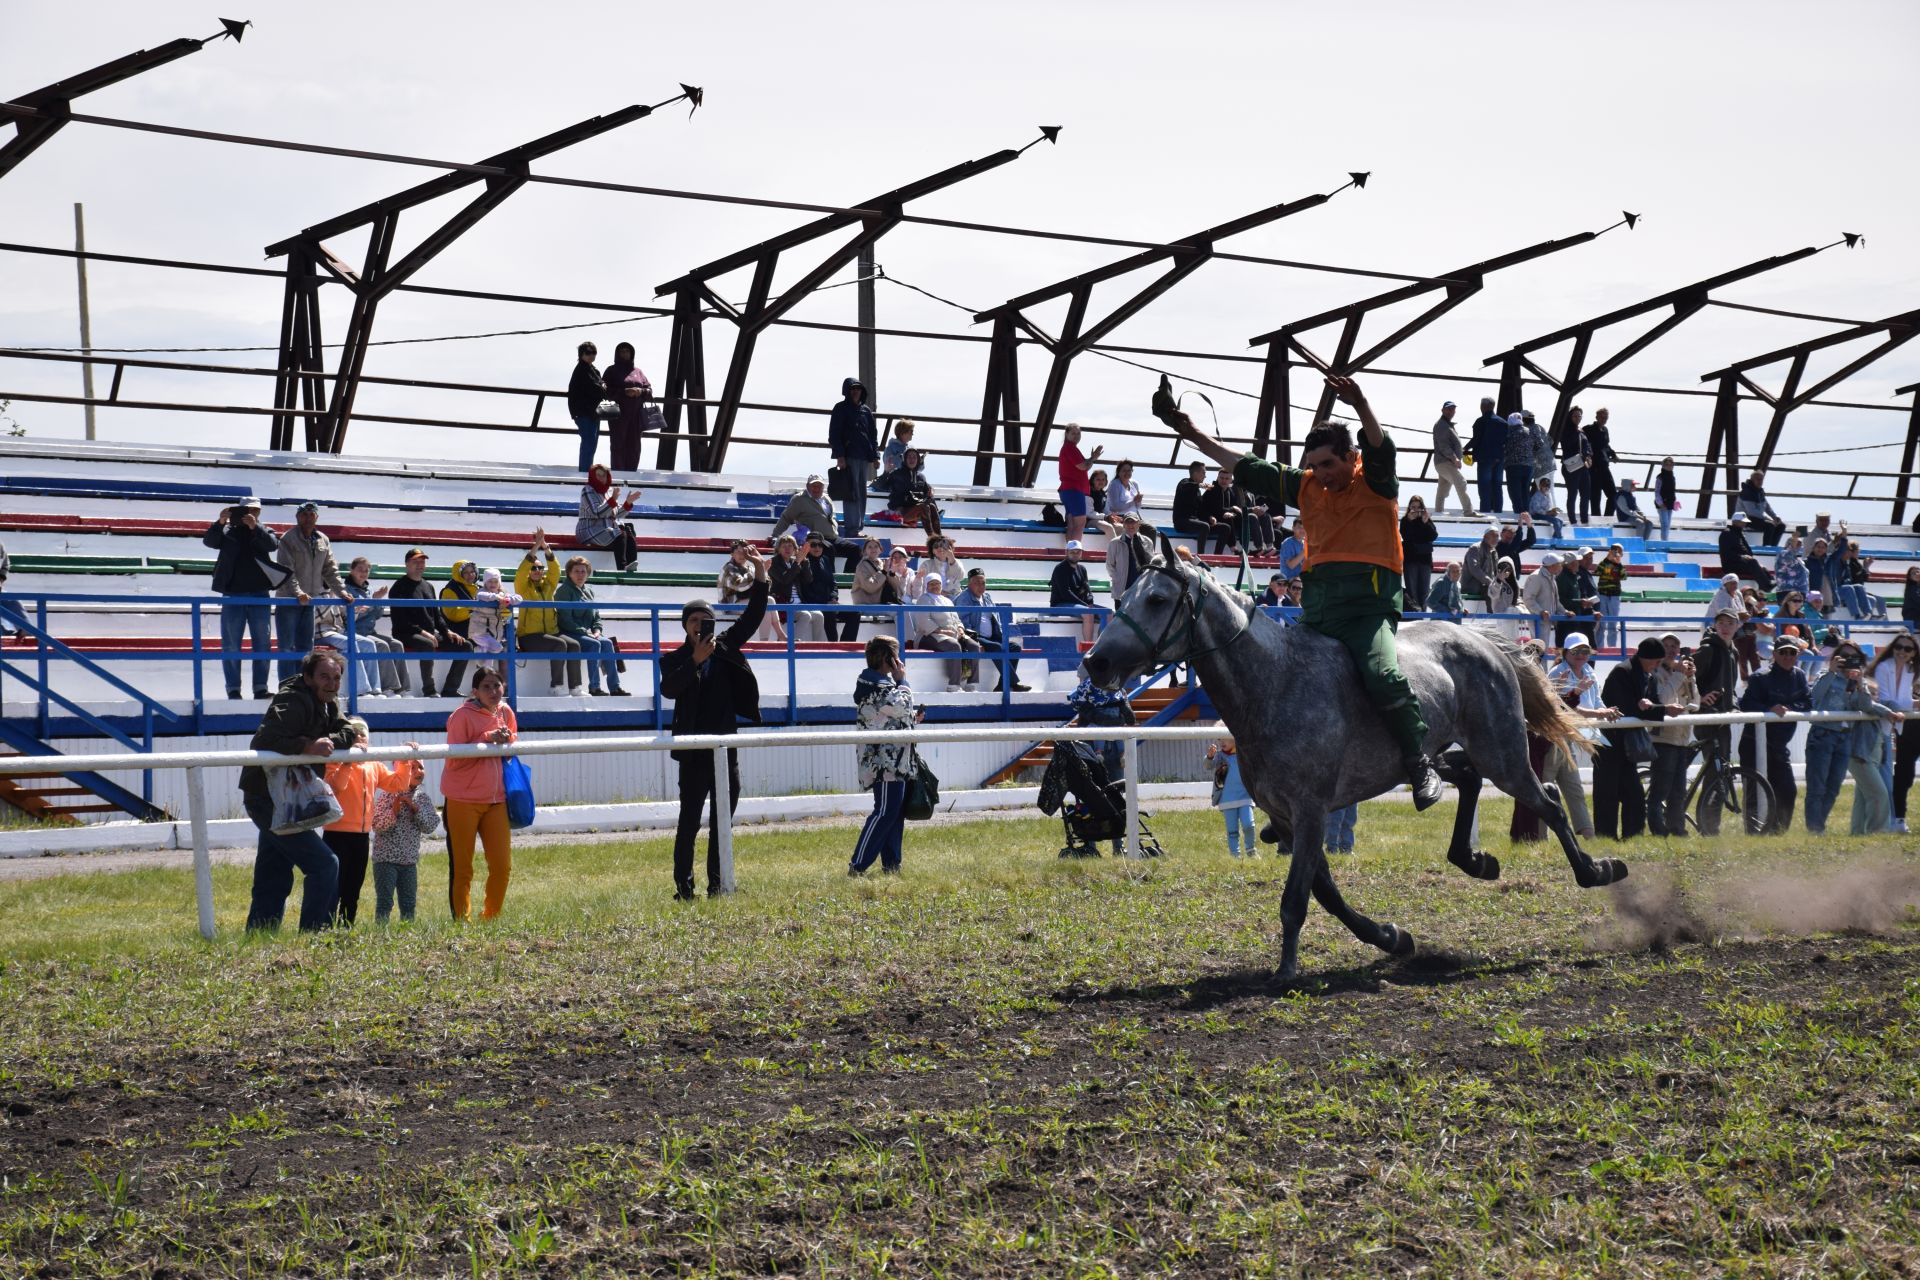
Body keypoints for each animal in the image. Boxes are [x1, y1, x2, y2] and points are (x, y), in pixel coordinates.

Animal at [1082, 537, 1620, 974]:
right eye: (1122, 598)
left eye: (1156, 599)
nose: (1095, 661)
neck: (1274, 681)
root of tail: (1481, 641)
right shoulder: (1290, 818)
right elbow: (1325, 893)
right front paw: (1391, 937)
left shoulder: (1310, 811)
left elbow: (1298, 898)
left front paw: (1286, 971)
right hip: (1437, 755)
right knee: (1473, 781)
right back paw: (1473, 859)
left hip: (1501, 754)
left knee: (1548, 801)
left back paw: (1595, 871)